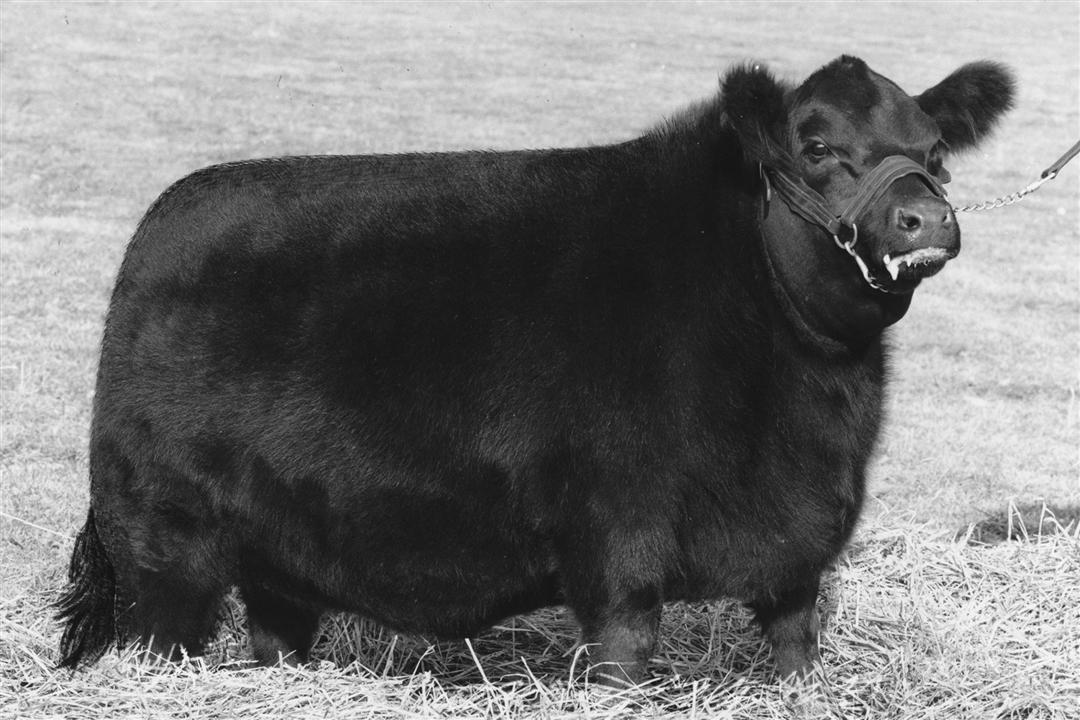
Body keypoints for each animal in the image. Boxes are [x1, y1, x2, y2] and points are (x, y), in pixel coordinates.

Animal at [54, 55, 1015, 686]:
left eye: (936, 149)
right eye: (816, 147)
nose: (926, 218)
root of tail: (163, 223)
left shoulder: (798, 551)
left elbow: (794, 646)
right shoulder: (619, 547)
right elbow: (624, 655)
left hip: (277, 555)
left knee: (278, 629)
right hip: (163, 548)